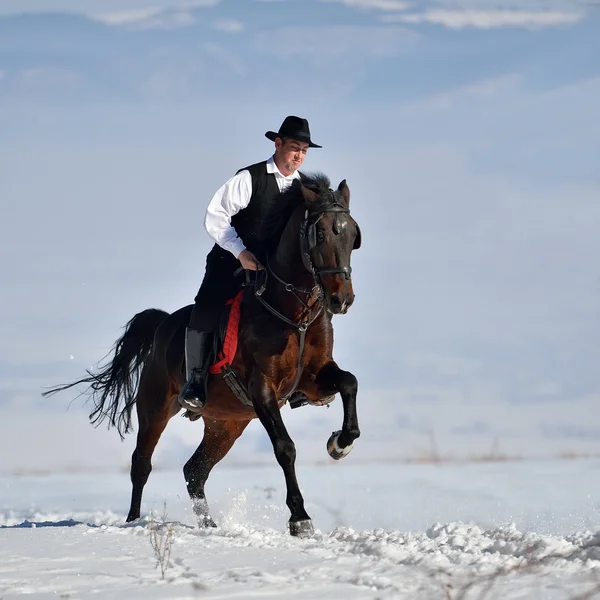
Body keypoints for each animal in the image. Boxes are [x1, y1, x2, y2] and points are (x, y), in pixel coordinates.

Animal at [44, 173, 360, 540]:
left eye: (352, 234)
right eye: (319, 233)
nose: (342, 299)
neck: (294, 316)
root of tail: (162, 325)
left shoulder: (313, 378)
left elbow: (349, 382)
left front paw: (340, 443)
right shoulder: (261, 389)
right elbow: (285, 448)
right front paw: (300, 518)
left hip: (226, 423)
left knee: (194, 471)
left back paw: (208, 525)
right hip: (156, 408)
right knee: (141, 464)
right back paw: (134, 521)